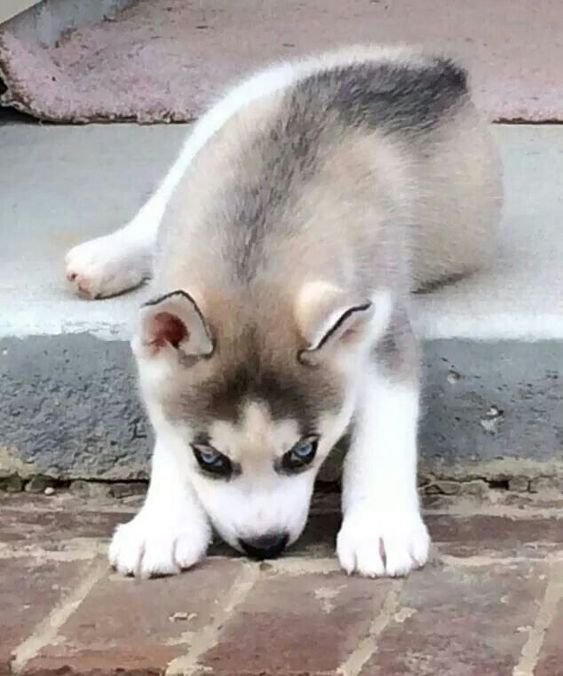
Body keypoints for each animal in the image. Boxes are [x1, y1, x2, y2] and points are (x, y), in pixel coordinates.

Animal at [65, 46, 502, 576]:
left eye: (303, 451)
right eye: (209, 458)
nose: (264, 544)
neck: (254, 247)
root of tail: (426, 62)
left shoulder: (382, 324)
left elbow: (383, 430)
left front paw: (380, 528)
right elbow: (168, 437)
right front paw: (162, 526)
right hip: (220, 118)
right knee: (155, 209)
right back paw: (103, 258)